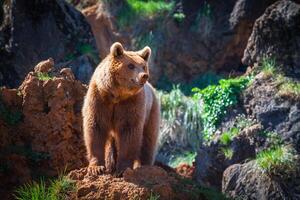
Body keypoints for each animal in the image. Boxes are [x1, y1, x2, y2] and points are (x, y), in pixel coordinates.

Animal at [82, 41, 161, 175]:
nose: (144, 76)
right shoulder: (99, 98)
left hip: (151, 112)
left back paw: (146, 166)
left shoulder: (131, 103)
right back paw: (110, 164)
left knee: (148, 140)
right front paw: (96, 168)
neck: (117, 95)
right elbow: (95, 127)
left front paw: (122, 169)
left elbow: (129, 132)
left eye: (143, 66)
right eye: (131, 65)